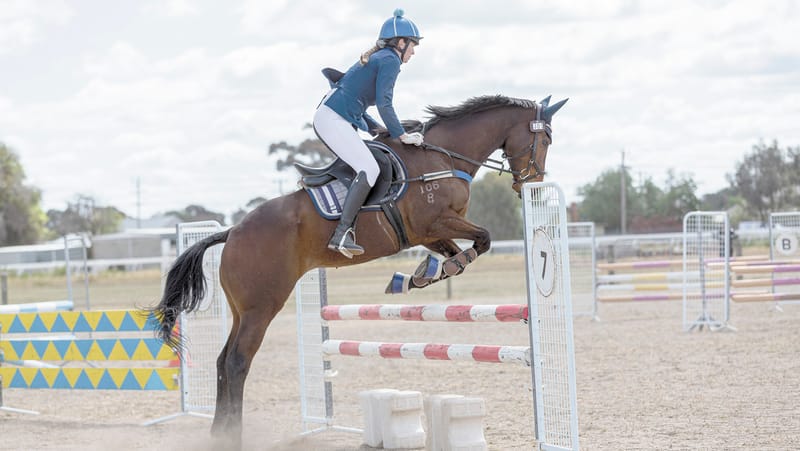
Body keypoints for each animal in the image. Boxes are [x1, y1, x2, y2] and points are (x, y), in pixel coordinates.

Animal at [152, 94, 566, 447]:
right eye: (545, 138)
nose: (533, 186)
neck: (442, 158)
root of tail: (233, 231)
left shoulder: (426, 233)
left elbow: (457, 251)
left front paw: (422, 274)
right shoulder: (433, 223)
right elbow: (483, 238)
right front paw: (444, 266)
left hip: (242, 309)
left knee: (224, 360)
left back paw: (217, 433)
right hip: (262, 307)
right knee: (238, 362)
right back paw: (233, 436)